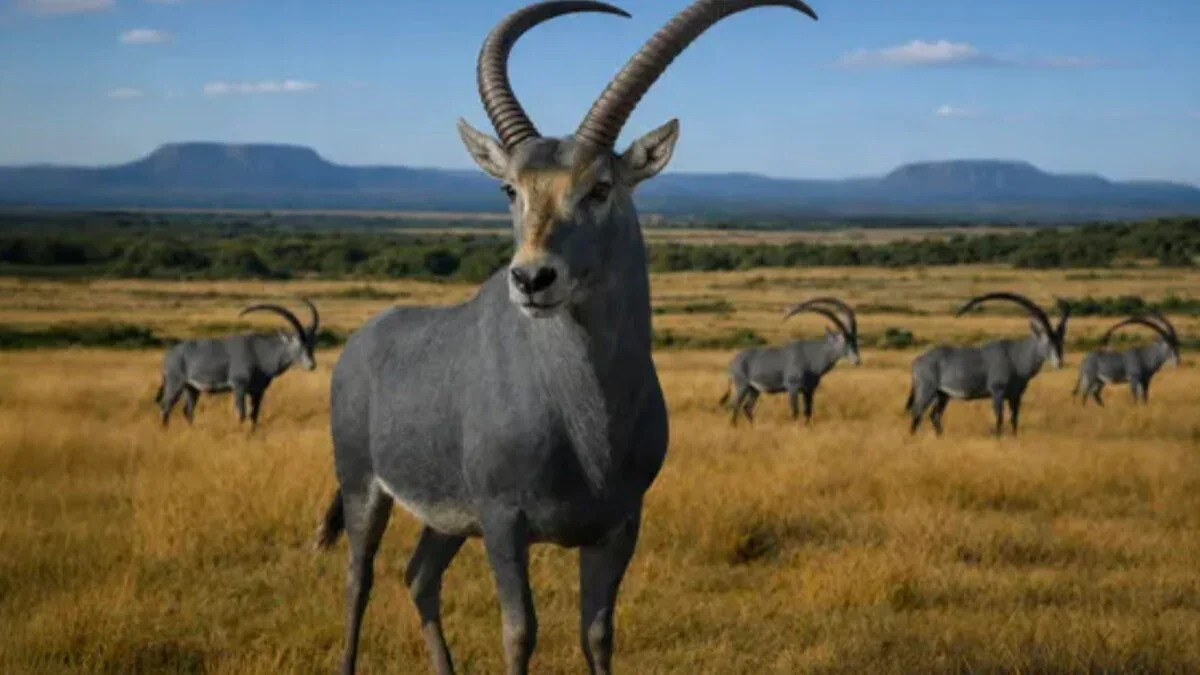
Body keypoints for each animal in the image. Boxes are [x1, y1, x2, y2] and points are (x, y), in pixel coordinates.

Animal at [154, 299, 319, 429]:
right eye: (298, 342)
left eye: (311, 343)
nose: (311, 365)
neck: (260, 352)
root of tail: (169, 355)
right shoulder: (239, 386)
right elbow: (242, 414)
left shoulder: (257, 391)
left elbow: (254, 416)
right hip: (175, 383)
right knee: (165, 406)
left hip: (191, 388)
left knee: (187, 411)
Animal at [311, 2, 818, 673]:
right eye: (511, 188)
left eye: (600, 186)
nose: (531, 279)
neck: (585, 416)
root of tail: (363, 341)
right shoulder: (504, 522)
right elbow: (520, 632)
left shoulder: (618, 526)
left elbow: (597, 633)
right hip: (364, 487)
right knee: (358, 579)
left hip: (447, 520)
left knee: (419, 576)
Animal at [719, 297, 860, 425]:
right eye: (844, 340)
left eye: (854, 339)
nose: (857, 360)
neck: (812, 356)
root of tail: (733, 362)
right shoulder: (793, 387)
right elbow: (795, 411)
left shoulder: (809, 390)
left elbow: (808, 412)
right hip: (742, 386)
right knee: (734, 406)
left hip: (754, 390)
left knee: (747, 408)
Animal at [906, 292, 1070, 436]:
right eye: (1046, 340)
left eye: (1061, 341)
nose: (1059, 362)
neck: (1015, 356)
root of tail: (917, 361)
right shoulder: (997, 393)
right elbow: (999, 420)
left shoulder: (1016, 396)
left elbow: (1014, 420)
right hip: (927, 390)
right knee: (917, 413)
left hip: (942, 395)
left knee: (934, 415)